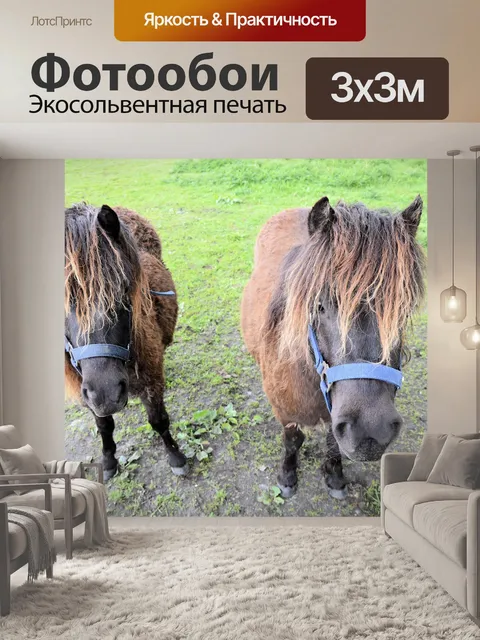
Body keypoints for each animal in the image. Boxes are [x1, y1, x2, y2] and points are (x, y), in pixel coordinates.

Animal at [64, 203, 187, 481]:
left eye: (123, 290)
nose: (107, 394)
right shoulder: (87, 394)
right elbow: (104, 425)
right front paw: (109, 461)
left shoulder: (151, 381)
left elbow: (159, 420)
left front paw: (176, 456)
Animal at [241, 196, 425, 499]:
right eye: (319, 305)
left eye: (404, 309)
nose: (370, 432)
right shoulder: (285, 412)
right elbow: (293, 440)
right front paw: (287, 476)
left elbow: (332, 441)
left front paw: (335, 476)